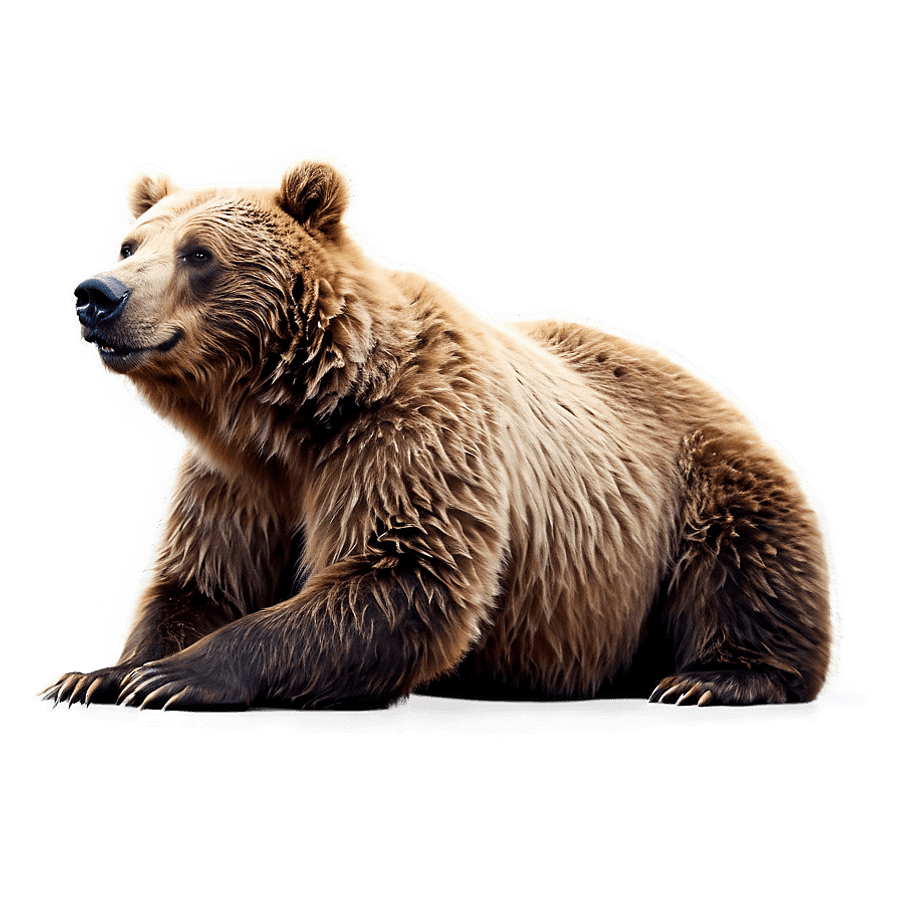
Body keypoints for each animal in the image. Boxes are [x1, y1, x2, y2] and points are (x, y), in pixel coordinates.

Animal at [36, 150, 834, 711]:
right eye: (132, 245)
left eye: (198, 253)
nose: (96, 296)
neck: (291, 407)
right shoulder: (235, 475)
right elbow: (200, 579)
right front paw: (97, 675)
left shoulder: (407, 434)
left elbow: (404, 569)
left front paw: (176, 676)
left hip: (702, 487)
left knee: (746, 564)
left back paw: (712, 678)